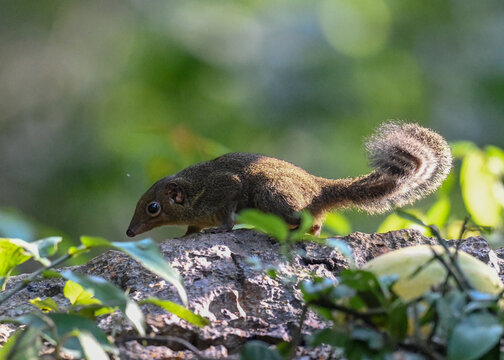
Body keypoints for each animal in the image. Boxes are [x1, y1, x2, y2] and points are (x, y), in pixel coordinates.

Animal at [126, 122, 452, 238]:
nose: (129, 232)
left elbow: (227, 216)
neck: (194, 191)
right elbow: (192, 228)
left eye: (153, 207)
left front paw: (219, 229)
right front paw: (186, 235)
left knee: (304, 219)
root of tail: (319, 188)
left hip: (270, 192)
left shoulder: (224, 187)